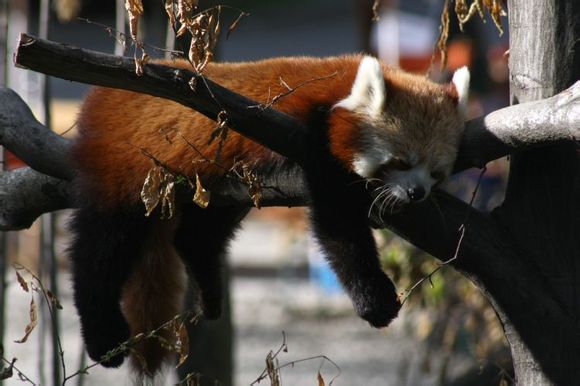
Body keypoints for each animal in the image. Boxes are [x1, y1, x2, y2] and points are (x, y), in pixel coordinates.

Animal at [68, 54, 468, 374]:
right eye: (400, 162)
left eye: (436, 172)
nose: (417, 193)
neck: (338, 89)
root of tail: (101, 95)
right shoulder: (314, 141)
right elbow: (339, 229)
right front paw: (375, 300)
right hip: (122, 168)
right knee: (101, 250)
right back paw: (103, 337)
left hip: (223, 181)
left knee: (198, 234)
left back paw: (209, 291)